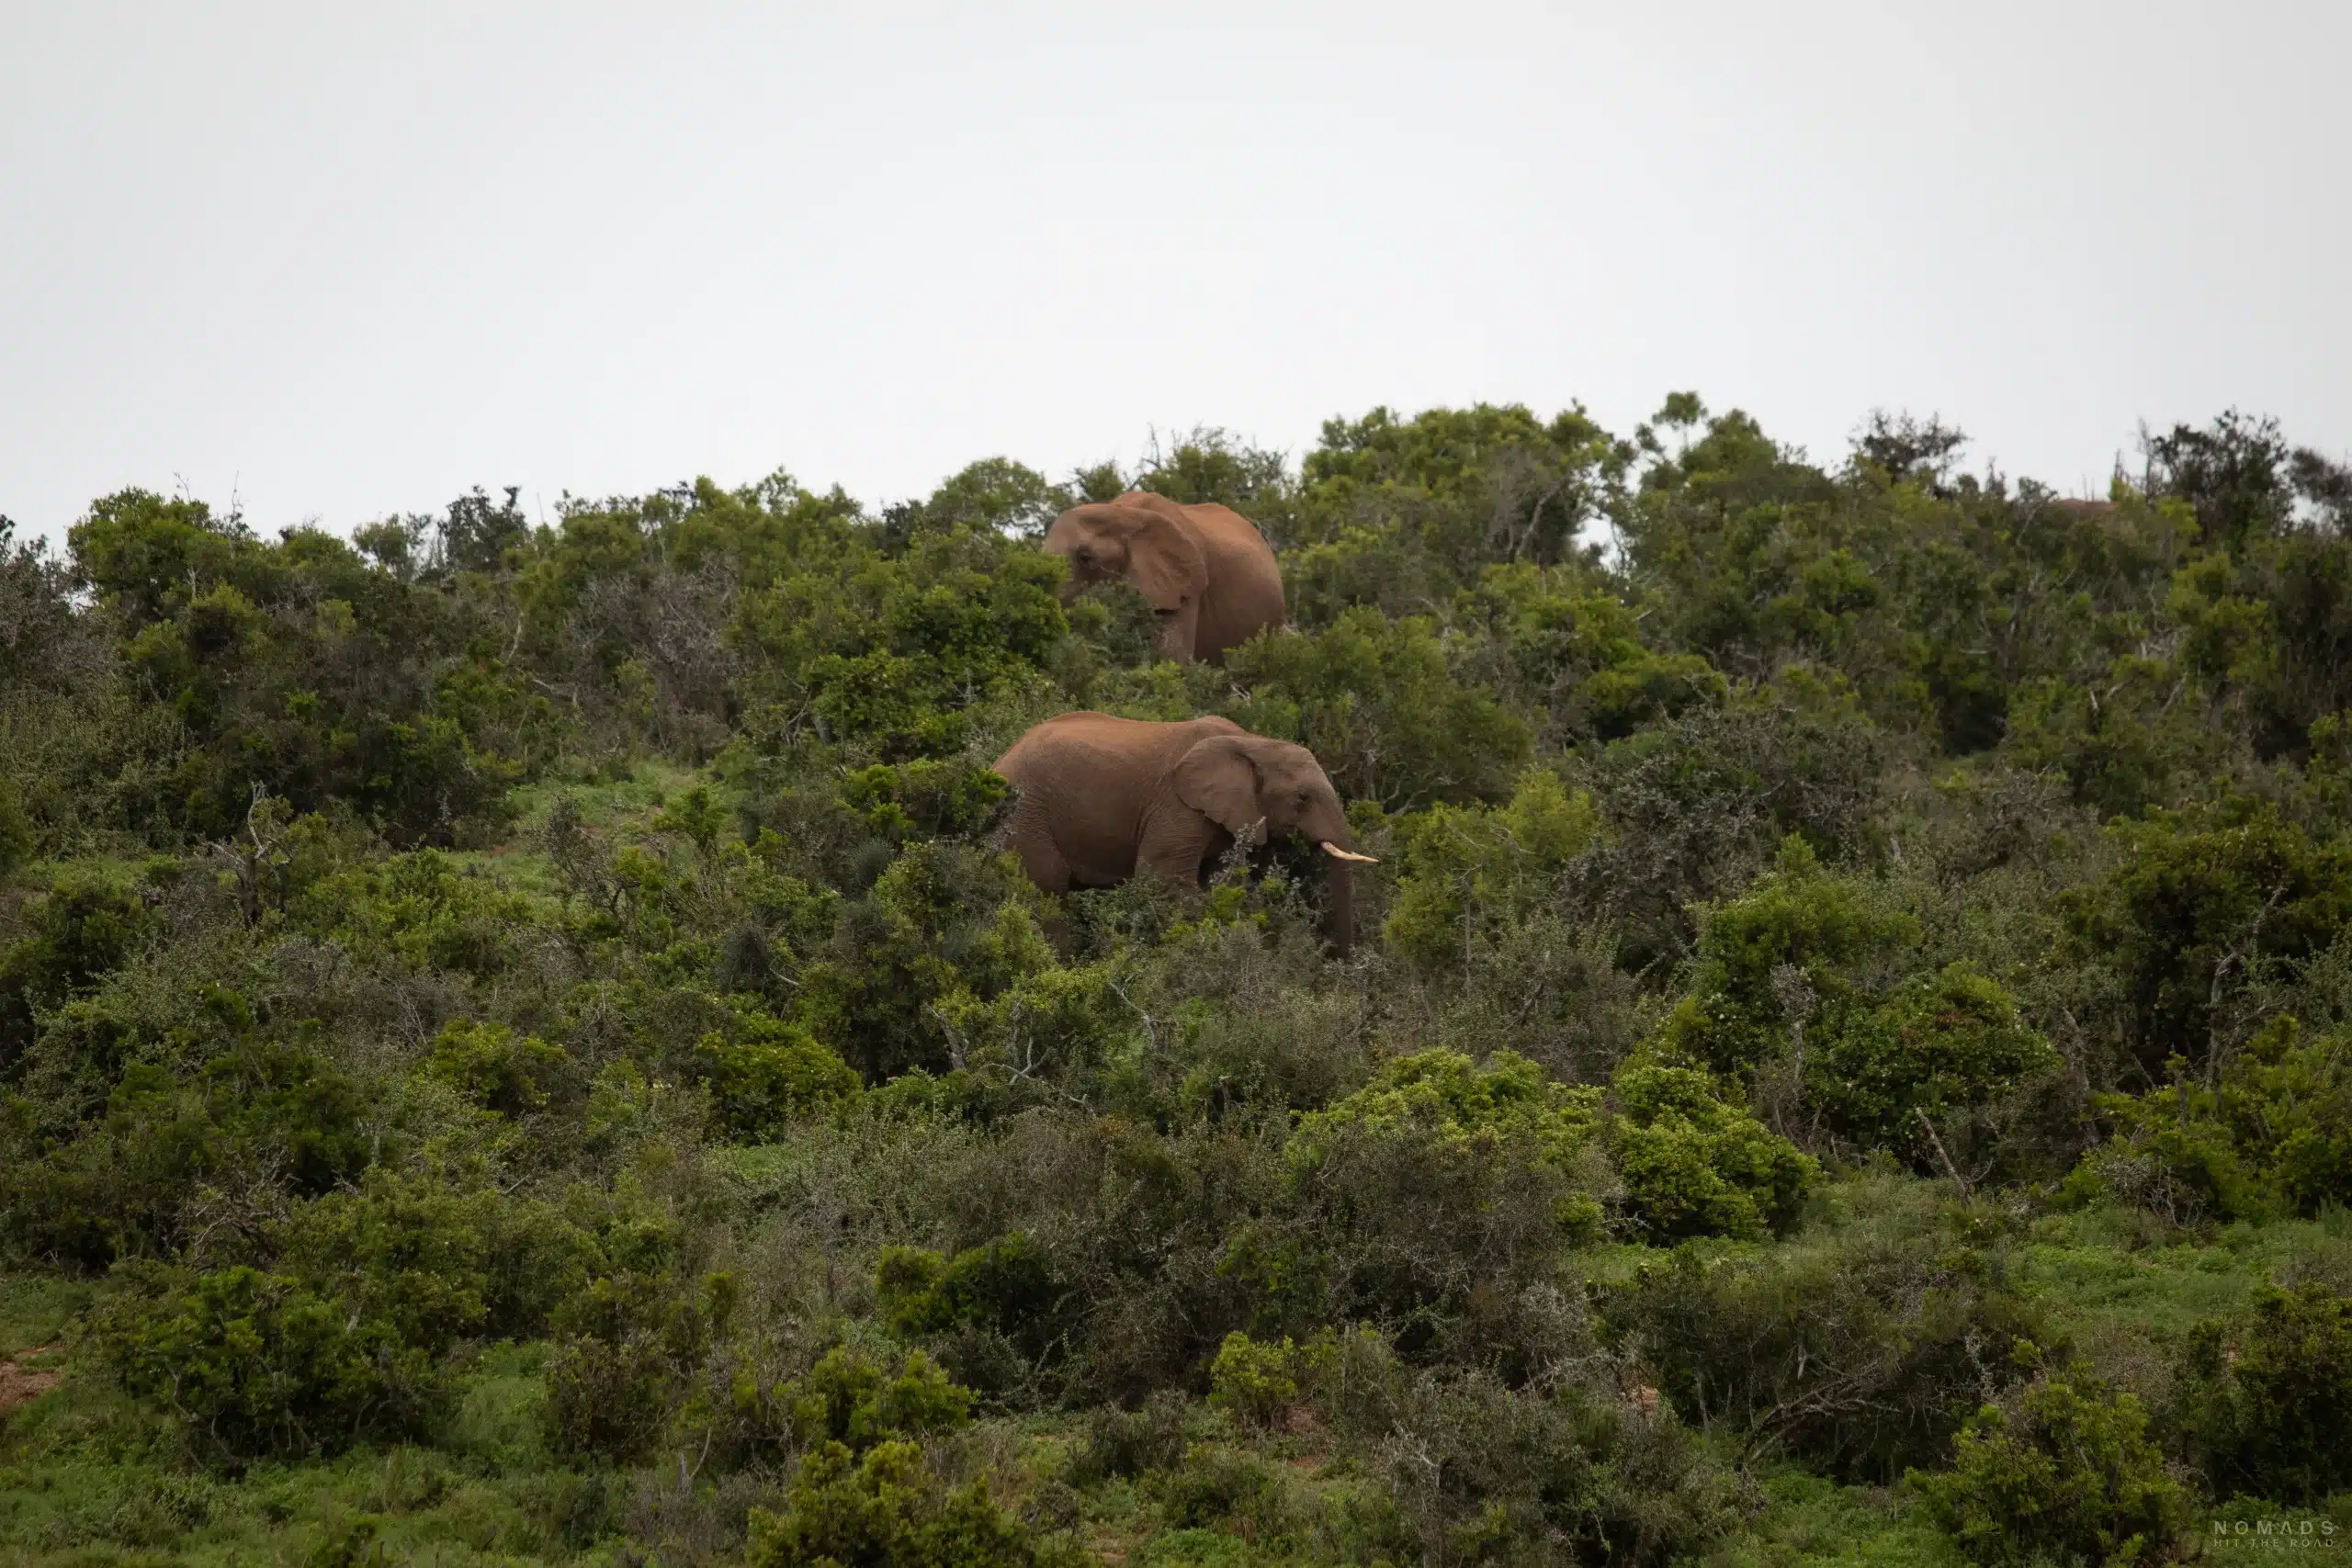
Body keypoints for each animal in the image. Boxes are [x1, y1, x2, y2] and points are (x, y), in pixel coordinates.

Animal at [993, 712, 1375, 953]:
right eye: (1303, 798)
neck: (1253, 742)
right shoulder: (1177, 806)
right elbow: (1164, 880)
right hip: (1026, 813)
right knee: (1046, 889)